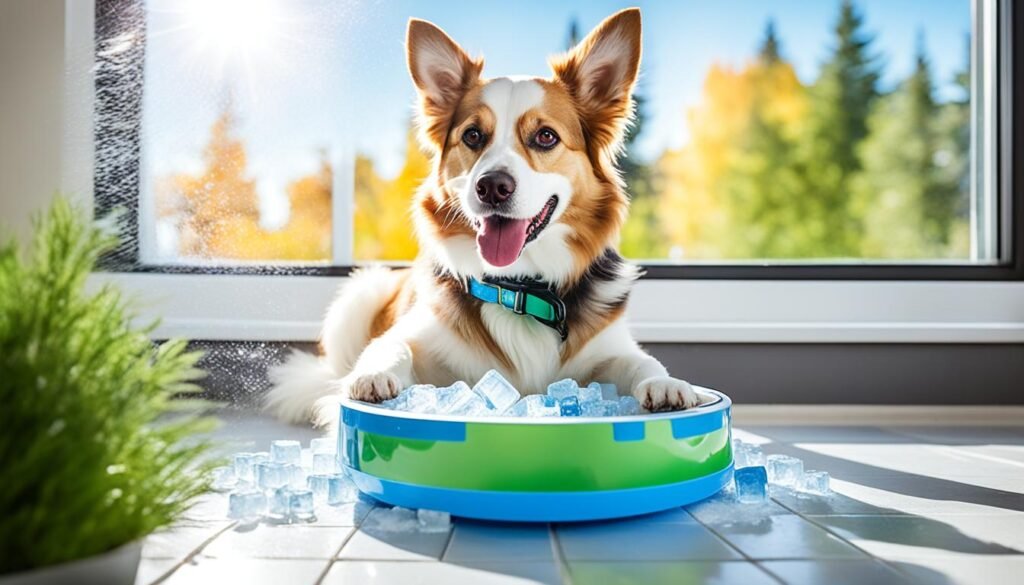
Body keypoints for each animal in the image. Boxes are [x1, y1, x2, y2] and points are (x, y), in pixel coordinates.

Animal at [264, 8, 700, 430]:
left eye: (546, 136)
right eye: (473, 135)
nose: (492, 187)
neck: (520, 287)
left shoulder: (611, 347)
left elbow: (641, 361)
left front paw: (668, 384)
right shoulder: (415, 336)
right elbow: (390, 347)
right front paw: (373, 375)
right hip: (361, 291)